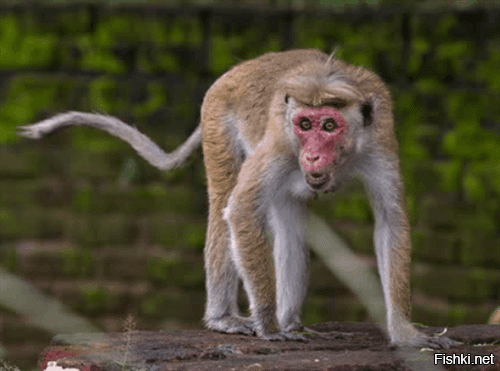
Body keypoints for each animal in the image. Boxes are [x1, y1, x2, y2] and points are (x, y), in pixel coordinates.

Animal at [16, 48, 460, 348]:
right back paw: (227, 318)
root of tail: (234, 71)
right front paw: (268, 327)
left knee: (289, 222)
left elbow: (390, 222)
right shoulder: (281, 141)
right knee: (224, 204)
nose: (312, 156)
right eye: (305, 125)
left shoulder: (381, 137)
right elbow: (242, 210)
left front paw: (405, 332)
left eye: (329, 125)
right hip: (217, 120)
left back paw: (291, 320)